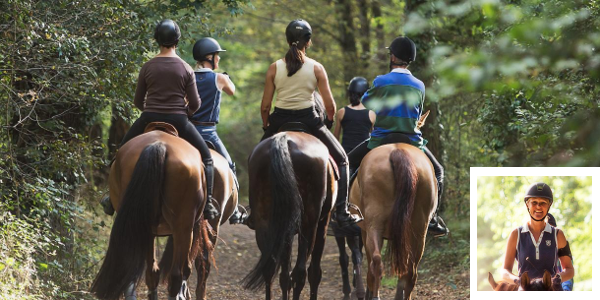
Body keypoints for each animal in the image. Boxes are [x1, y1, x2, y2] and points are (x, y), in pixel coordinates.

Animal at [88, 131, 212, 300]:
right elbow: (186, 268)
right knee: (176, 274)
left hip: (142, 224)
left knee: (149, 271)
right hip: (182, 227)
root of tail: (159, 145)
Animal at [243, 131, 338, 300]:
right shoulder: (323, 224)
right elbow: (314, 272)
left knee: (271, 269)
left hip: (265, 222)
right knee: (300, 272)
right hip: (309, 225)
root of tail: (284, 139)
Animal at [350, 143, 438, 300]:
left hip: (374, 224)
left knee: (376, 261)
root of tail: (399, 150)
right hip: (419, 229)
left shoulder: (365, 231)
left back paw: (375, 296)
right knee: (411, 271)